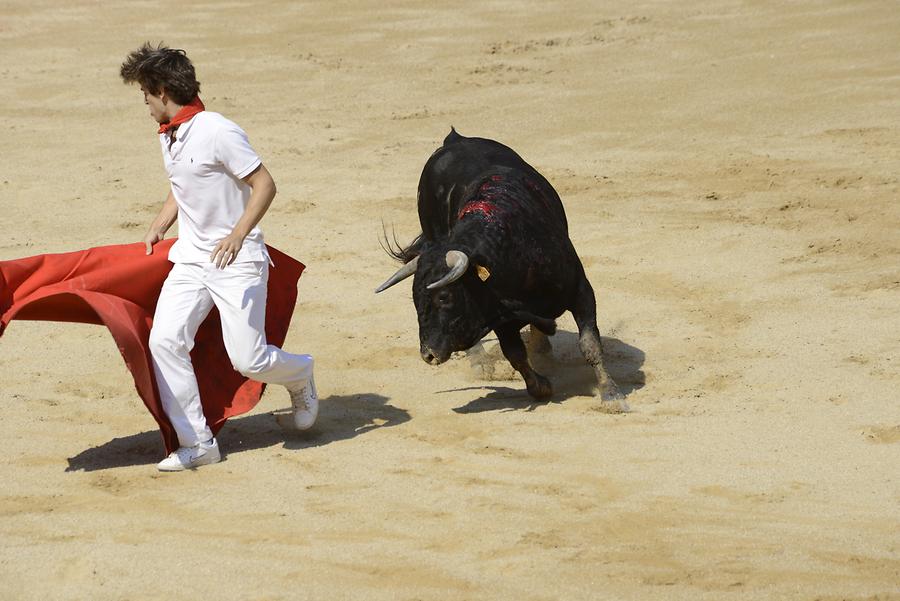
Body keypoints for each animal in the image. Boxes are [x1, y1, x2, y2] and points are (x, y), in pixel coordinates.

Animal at [374, 127, 624, 408]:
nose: (428, 355)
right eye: (415, 298)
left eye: (444, 297)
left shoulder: (581, 291)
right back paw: (482, 363)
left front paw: (612, 395)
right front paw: (541, 387)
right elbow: (515, 354)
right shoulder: (498, 315)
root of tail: (454, 139)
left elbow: (589, 344)